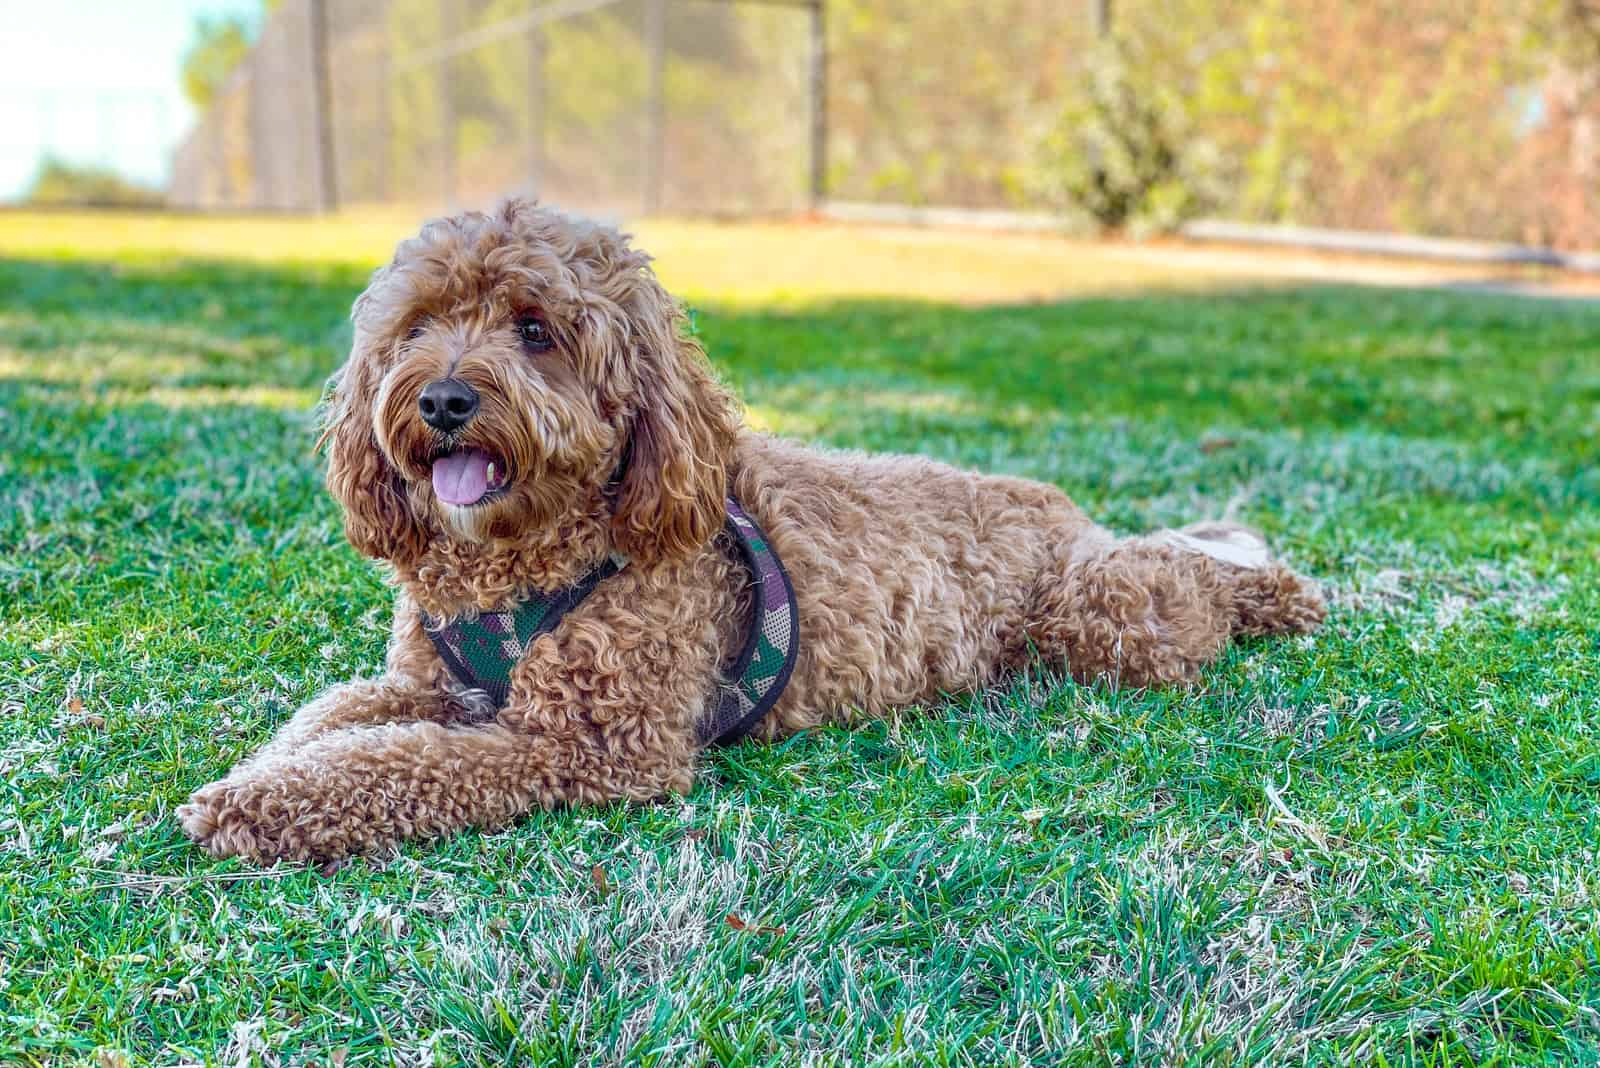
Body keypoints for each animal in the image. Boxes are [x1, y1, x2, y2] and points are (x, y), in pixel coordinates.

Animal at [175, 202, 1324, 869]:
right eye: (417, 326)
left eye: (536, 330)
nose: (445, 399)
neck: (522, 561)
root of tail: (1061, 509)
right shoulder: (426, 682)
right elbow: (334, 722)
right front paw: (258, 774)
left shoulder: (594, 745)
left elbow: (395, 766)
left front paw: (254, 807)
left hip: (1104, 617)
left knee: (1187, 584)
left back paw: (1277, 592)